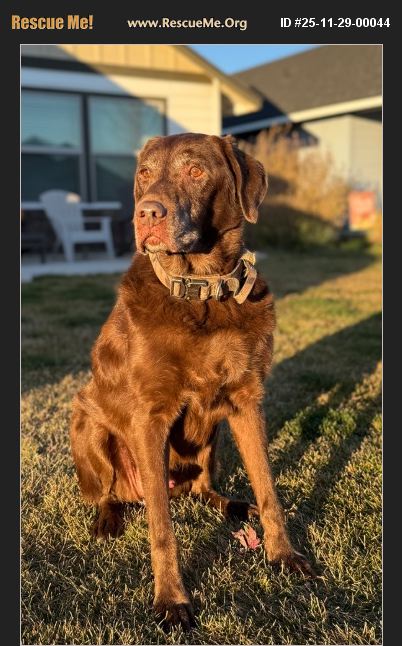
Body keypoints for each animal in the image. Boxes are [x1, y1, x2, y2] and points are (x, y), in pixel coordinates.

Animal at [70, 133, 315, 631]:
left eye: (196, 171)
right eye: (144, 173)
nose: (146, 213)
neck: (201, 291)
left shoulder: (247, 401)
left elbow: (269, 487)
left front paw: (283, 555)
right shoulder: (151, 416)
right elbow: (162, 527)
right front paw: (171, 600)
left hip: (212, 437)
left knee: (204, 491)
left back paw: (236, 506)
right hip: (85, 422)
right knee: (107, 493)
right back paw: (108, 520)